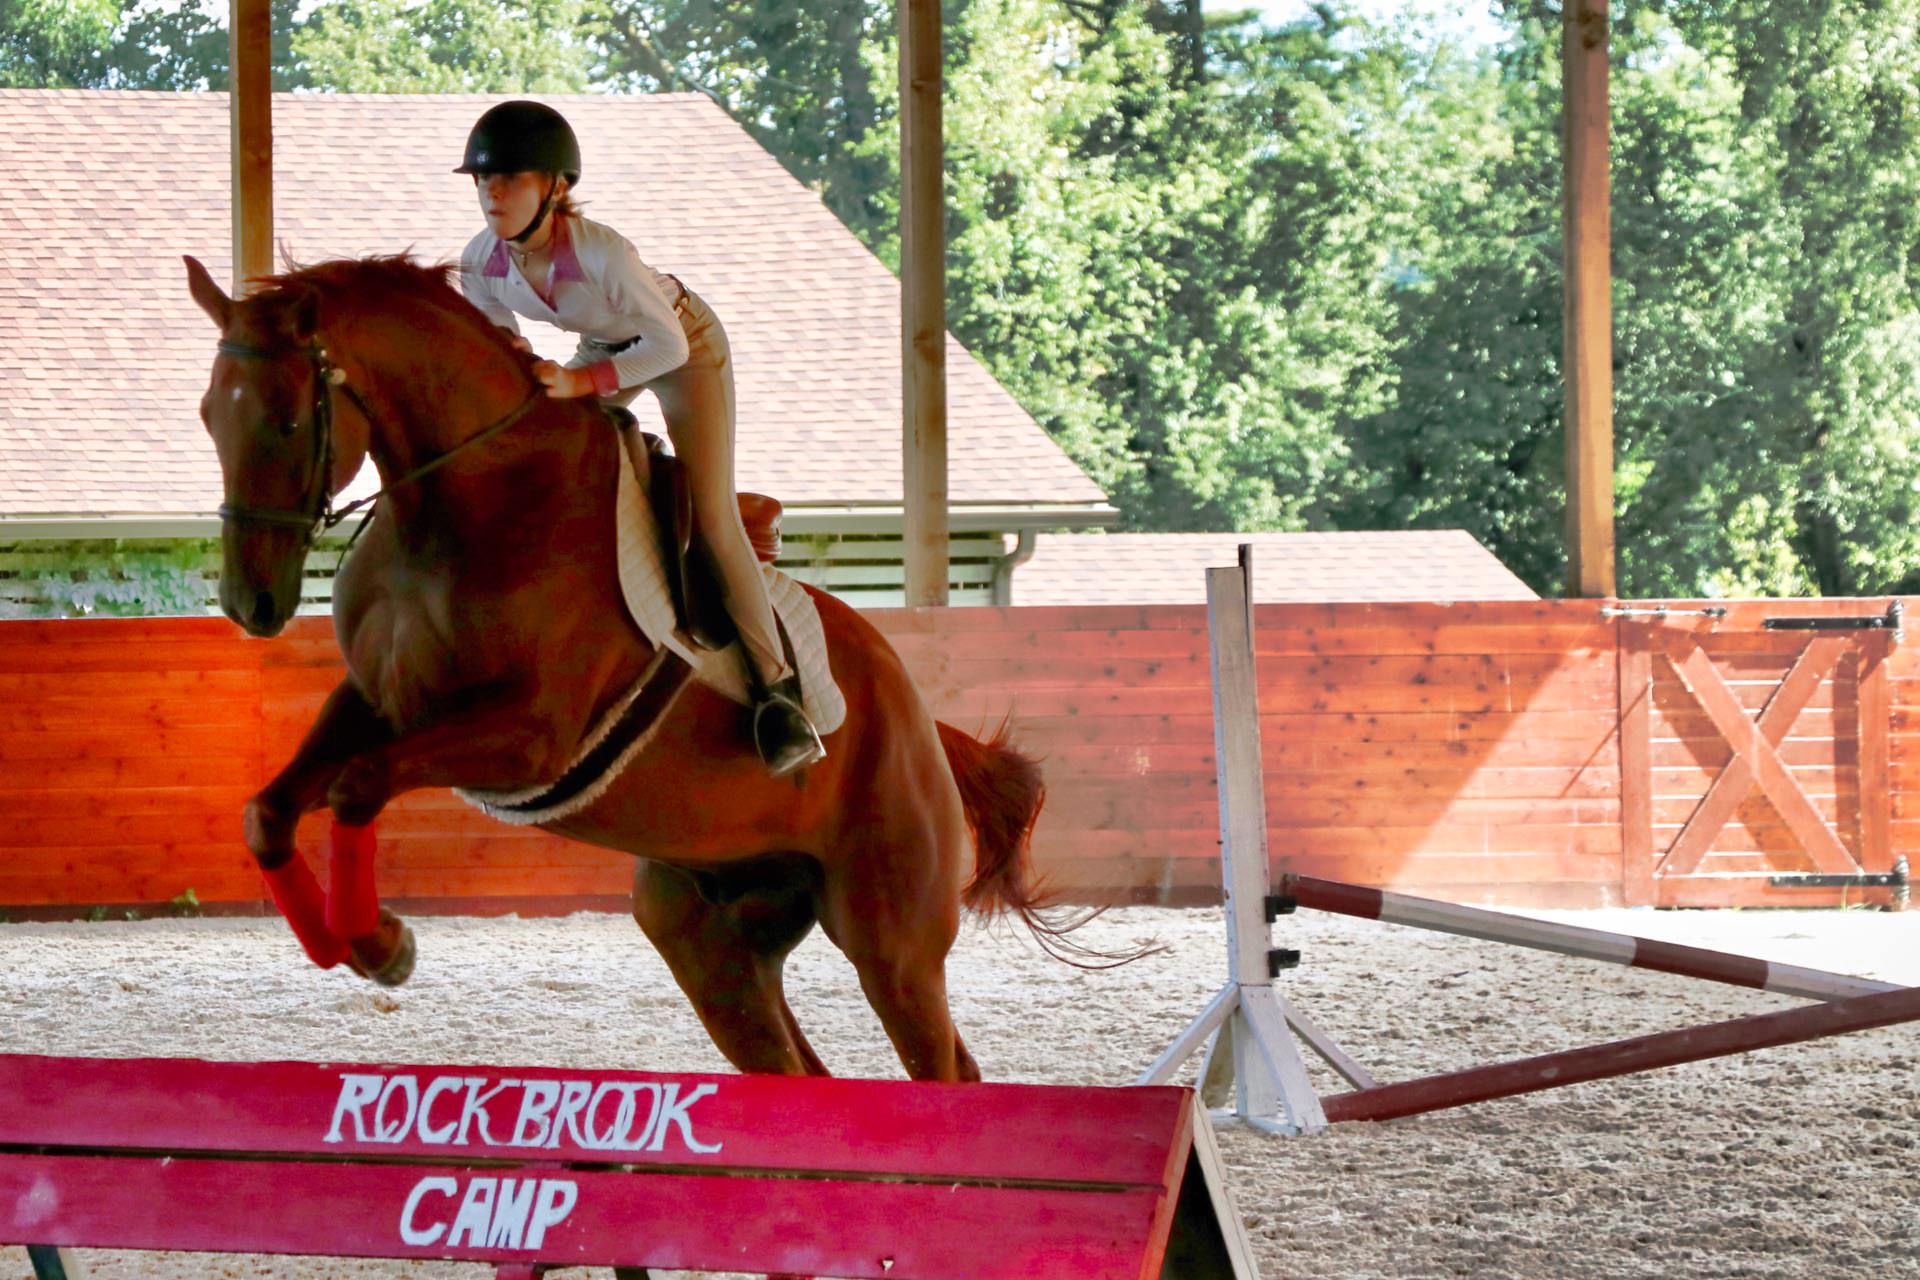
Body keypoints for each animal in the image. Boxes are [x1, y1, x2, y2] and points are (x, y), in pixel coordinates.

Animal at [183, 255, 1067, 1090]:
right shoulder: (379, 705)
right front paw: (337, 939)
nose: (250, 602)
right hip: (709, 940)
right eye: (209, 417)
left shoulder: (528, 738)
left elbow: (356, 784)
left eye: (286, 420)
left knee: (941, 1062)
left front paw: (381, 943)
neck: (469, 497)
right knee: (799, 1066)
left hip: (890, 937)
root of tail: (924, 725)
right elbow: (270, 811)